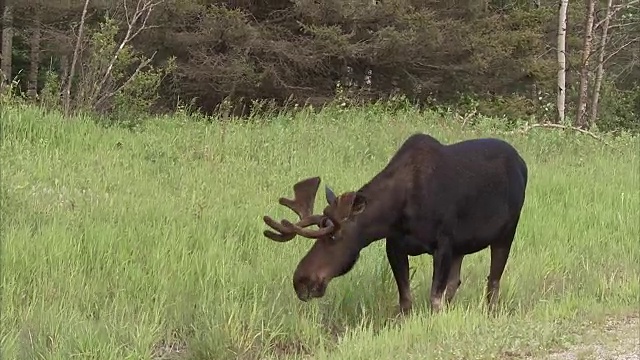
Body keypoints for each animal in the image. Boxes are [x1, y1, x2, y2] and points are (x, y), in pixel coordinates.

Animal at [262, 133, 528, 316]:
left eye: (334, 236)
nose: (301, 280)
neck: (397, 212)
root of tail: (522, 162)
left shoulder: (443, 244)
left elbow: (434, 298)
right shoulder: (395, 245)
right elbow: (406, 300)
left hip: (506, 232)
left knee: (493, 282)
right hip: (462, 248)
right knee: (457, 282)